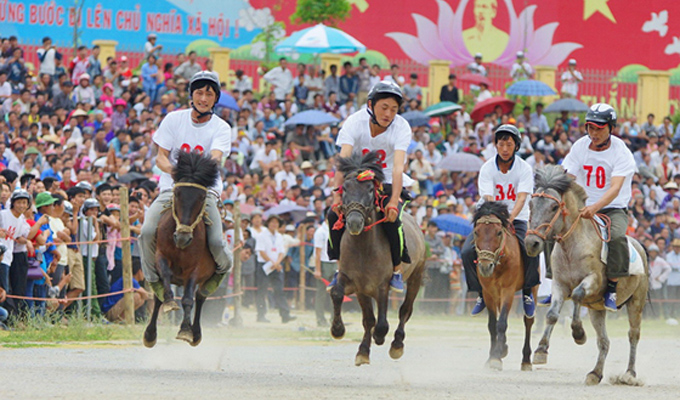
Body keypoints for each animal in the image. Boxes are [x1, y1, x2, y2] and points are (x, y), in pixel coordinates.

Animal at [143, 150, 218, 346]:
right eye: (177, 193)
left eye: (202, 197)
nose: (183, 237)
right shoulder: (161, 255)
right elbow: (165, 279)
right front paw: (170, 302)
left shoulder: (195, 268)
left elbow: (188, 299)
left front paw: (185, 330)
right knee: (158, 295)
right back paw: (150, 334)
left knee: (200, 296)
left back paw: (195, 333)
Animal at [328, 150, 424, 366]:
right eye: (345, 188)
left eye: (371, 189)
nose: (355, 222)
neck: (363, 248)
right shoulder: (356, 284)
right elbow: (341, 297)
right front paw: (341, 333)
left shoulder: (382, 286)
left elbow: (381, 323)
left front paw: (379, 337)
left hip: (416, 276)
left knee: (405, 310)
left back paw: (397, 344)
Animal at [472, 203, 536, 372]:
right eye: (476, 232)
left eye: (499, 232)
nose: (485, 266)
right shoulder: (488, 292)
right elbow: (492, 325)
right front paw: (494, 356)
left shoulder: (508, 290)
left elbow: (502, 322)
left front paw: (497, 356)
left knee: (528, 321)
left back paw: (526, 360)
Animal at [524, 165, 648, 384]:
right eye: (530, 204)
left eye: (554, 207)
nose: (532, 243)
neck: (572, 246)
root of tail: (640, 246)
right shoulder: (559, 285)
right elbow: (552, 314)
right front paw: (540, 350)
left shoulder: (593, 280)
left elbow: (577, 295)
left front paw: (579, 333)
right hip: (597, 310)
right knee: (604, 341)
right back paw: (595, 374)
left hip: (636, 302)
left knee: (633, 334)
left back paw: (629, 374)